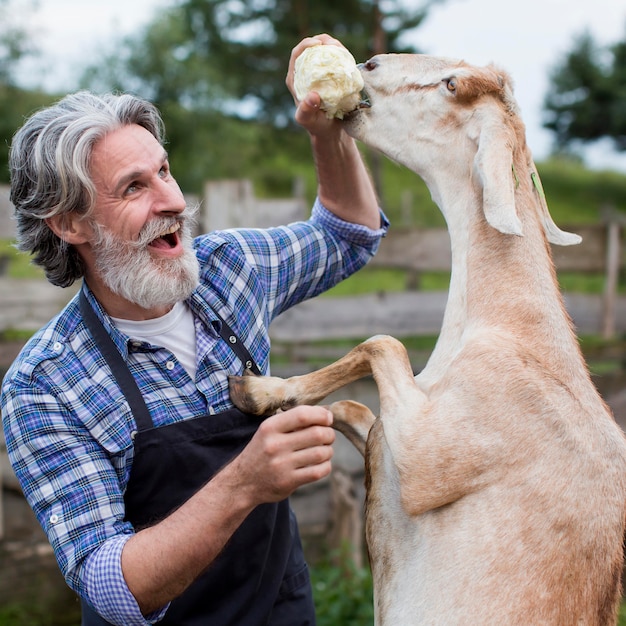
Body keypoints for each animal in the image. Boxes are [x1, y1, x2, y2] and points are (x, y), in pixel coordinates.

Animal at [230, 54, 626, 624]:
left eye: (451, 85)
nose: (370, 62)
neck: (512, 328)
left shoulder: (433, 454)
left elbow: (383, 342)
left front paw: (260, 391)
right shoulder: (398, 427)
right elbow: (354, 406)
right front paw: (275, 400)